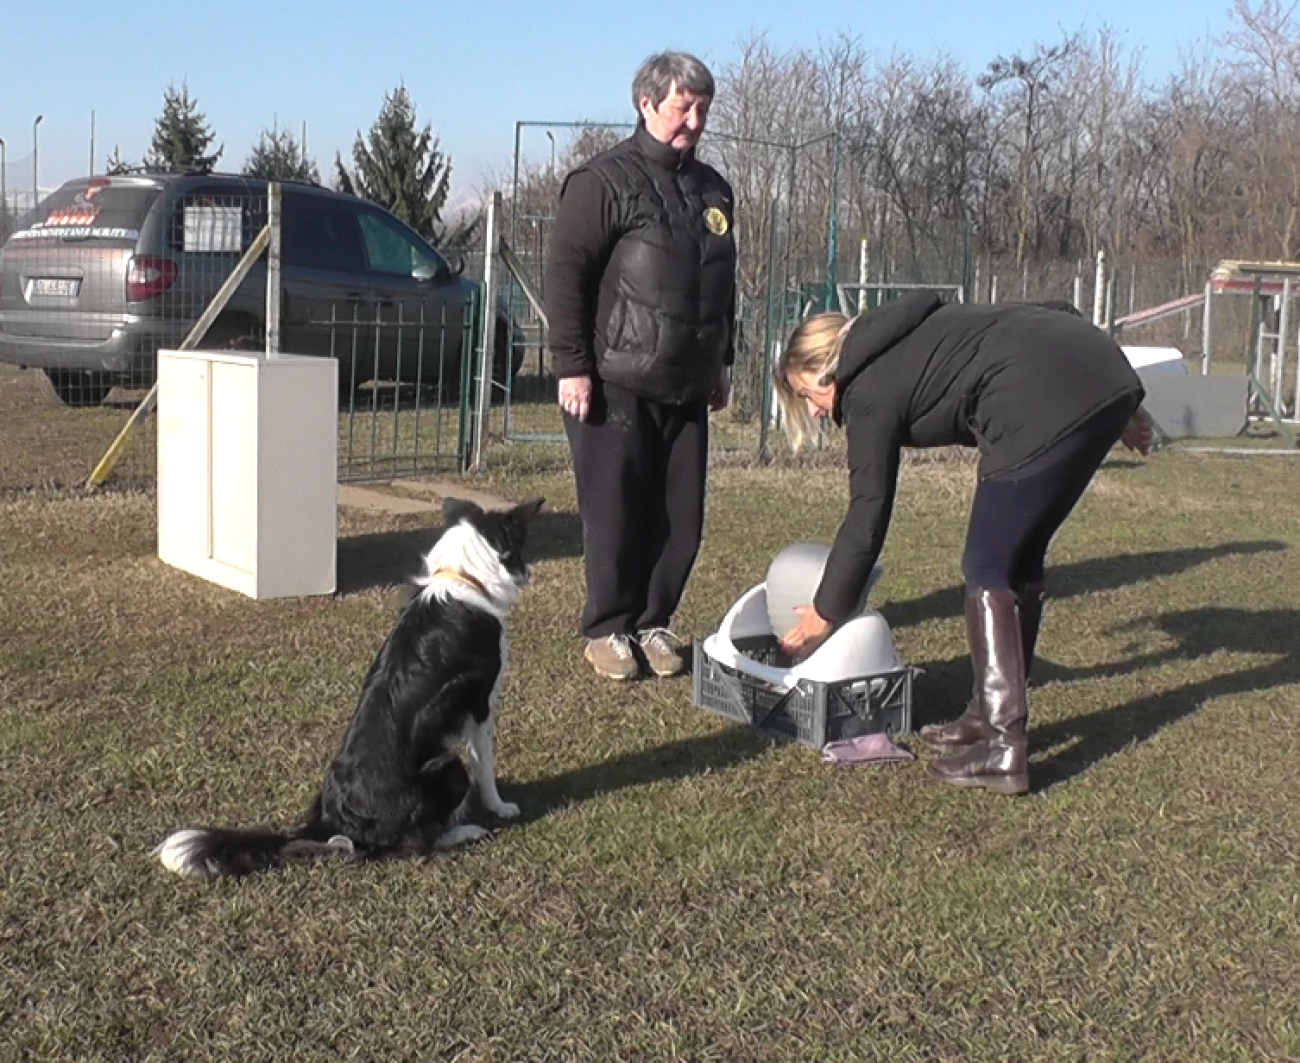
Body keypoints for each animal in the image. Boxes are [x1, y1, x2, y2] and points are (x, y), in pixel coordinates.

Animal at [156, 493, 543, 873]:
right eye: (518, 550)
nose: (530, 572)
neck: (462, 578)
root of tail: (330, 823)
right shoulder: (481, 704)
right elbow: (485, 765)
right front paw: (500, 807)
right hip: (447, 765)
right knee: (414, 845)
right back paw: (466, 831)